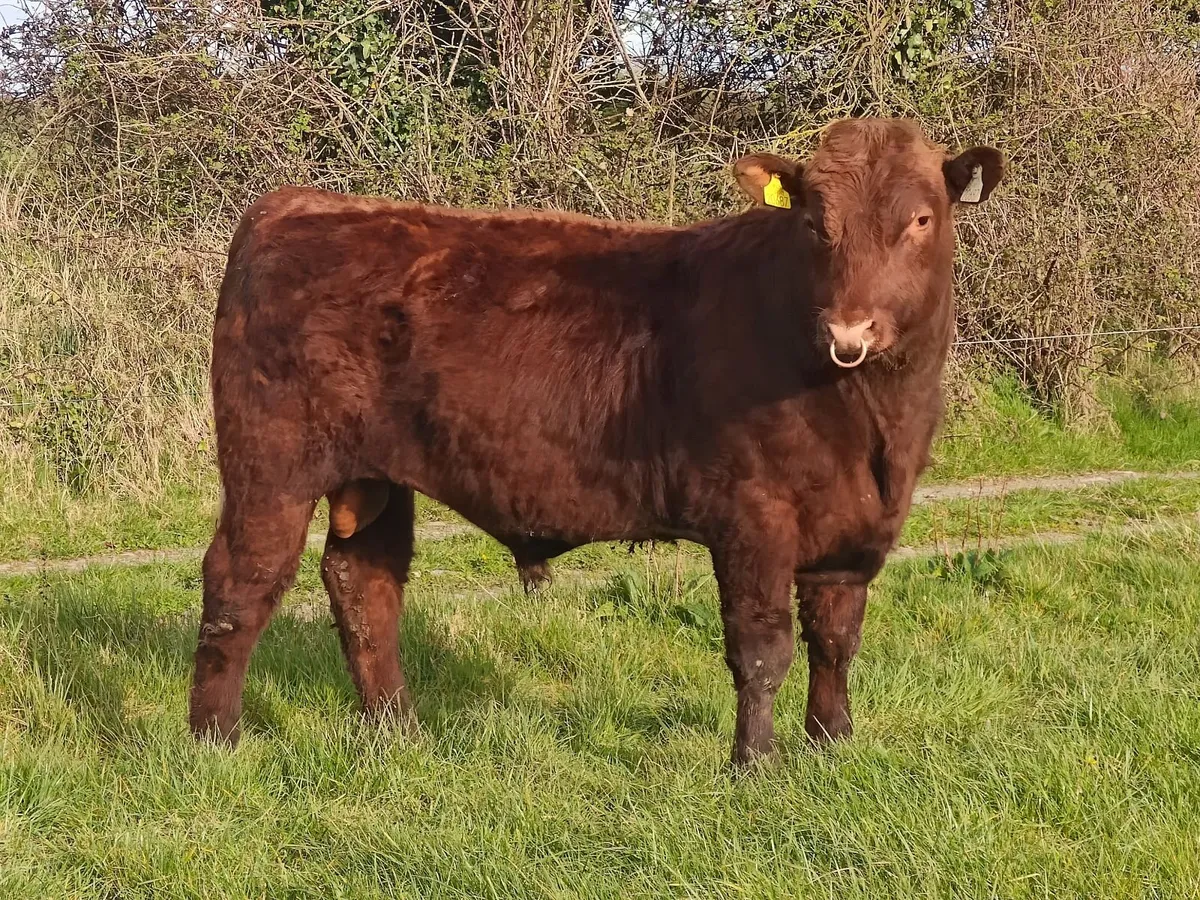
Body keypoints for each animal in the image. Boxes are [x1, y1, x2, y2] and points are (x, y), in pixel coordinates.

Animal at [190, 117, 1003, 765]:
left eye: (921, 219)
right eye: (814, 224)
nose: (849, 329)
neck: (872, 424)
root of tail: (301, 202)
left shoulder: (856, 530)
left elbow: (835, 640)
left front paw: (832, 748)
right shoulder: (753, 516)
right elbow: (762, 648)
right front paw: (754, 766)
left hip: (374, 476)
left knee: (365, 584)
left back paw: (399, 732)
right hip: (270, 465)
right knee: (242, 582)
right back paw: (216, 741)